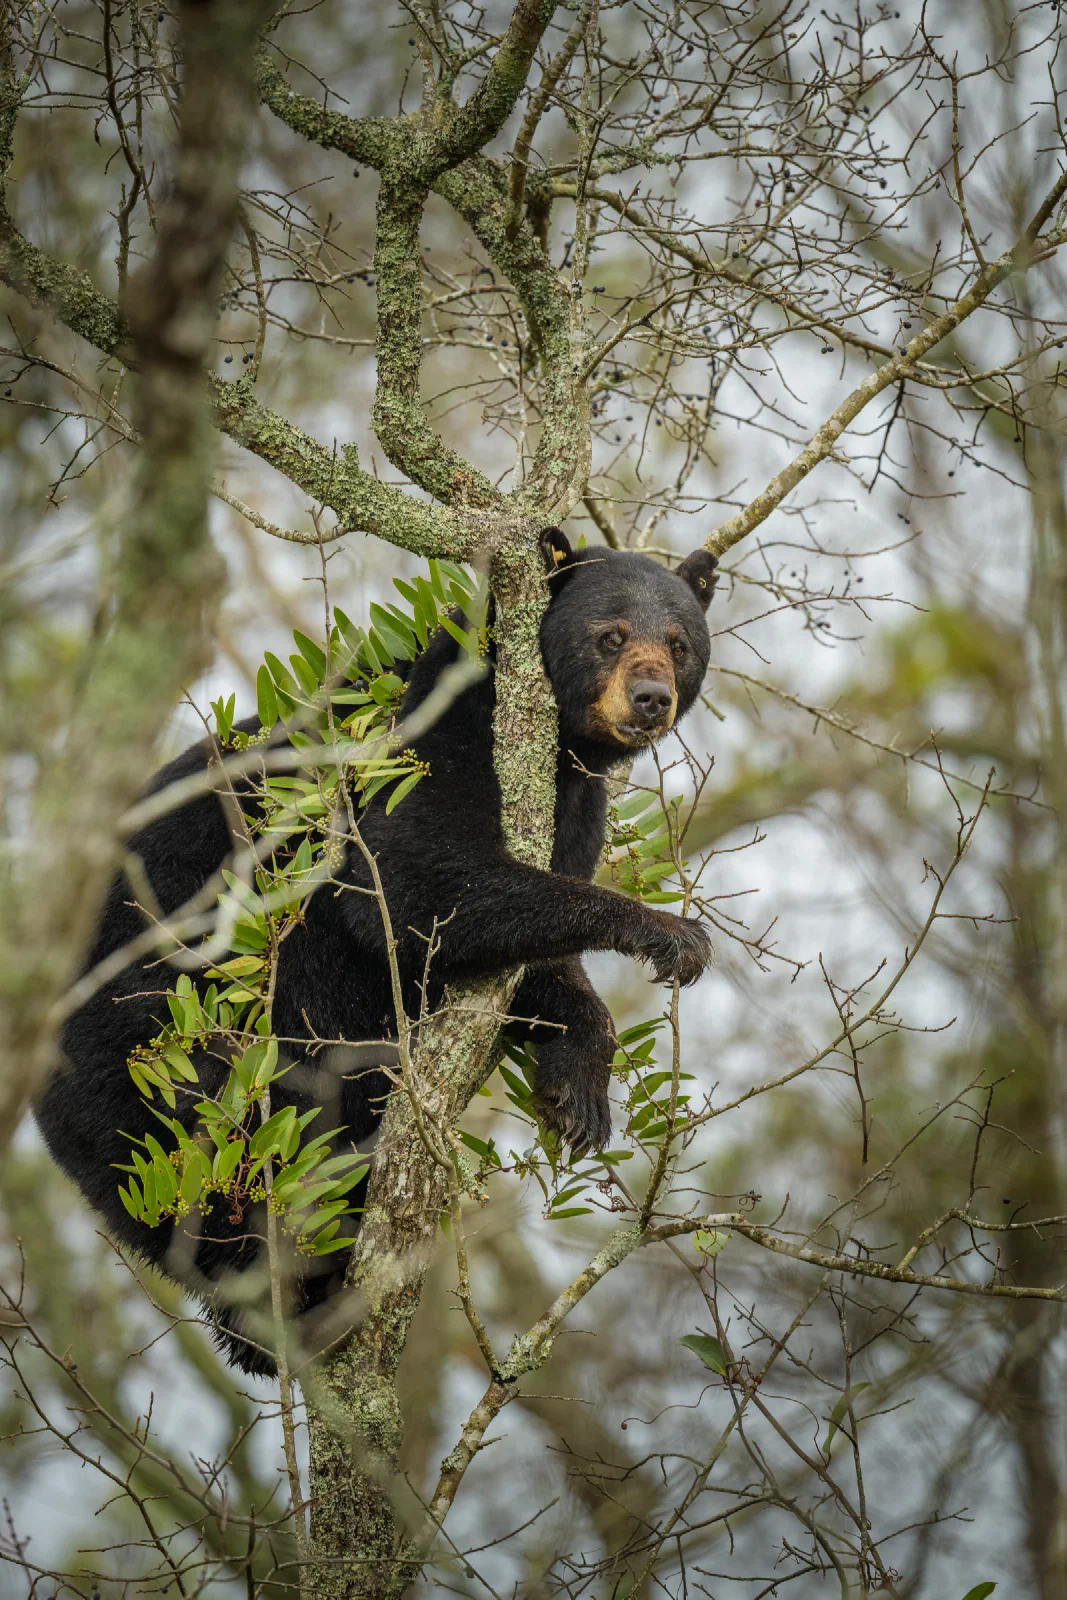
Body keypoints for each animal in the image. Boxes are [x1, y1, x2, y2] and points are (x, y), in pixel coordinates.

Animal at [35, 529, 718, 1374]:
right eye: (611, 635)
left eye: (680, 643)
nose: (651, 696)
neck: (556, 748)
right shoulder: (425, 740)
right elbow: (413, 881)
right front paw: (669, 932)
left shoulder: (574, 804)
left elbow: (533, 965)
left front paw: (580, 1093)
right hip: (153, 1045)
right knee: (201, 1154)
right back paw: (286, 1306)